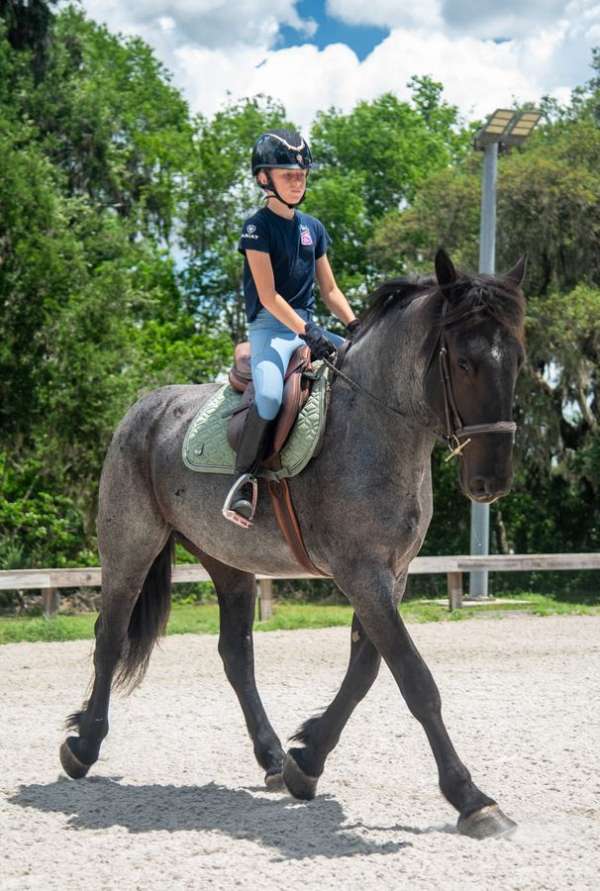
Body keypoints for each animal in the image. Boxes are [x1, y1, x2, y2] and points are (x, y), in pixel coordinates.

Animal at [60, 248, 527, 840]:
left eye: (517, 360)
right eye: (464, 362)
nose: (492, 480)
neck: (374, 425)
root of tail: (144, 408)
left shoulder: (390, 575)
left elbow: (366, 671)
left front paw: (306, 762)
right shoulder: (362, 574)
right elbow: (413, 678)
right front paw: (472, 799)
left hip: (229, 562)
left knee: (236, 655)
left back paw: (271, 756)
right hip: (129, 547)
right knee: (111, 638)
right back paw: (83, 746)